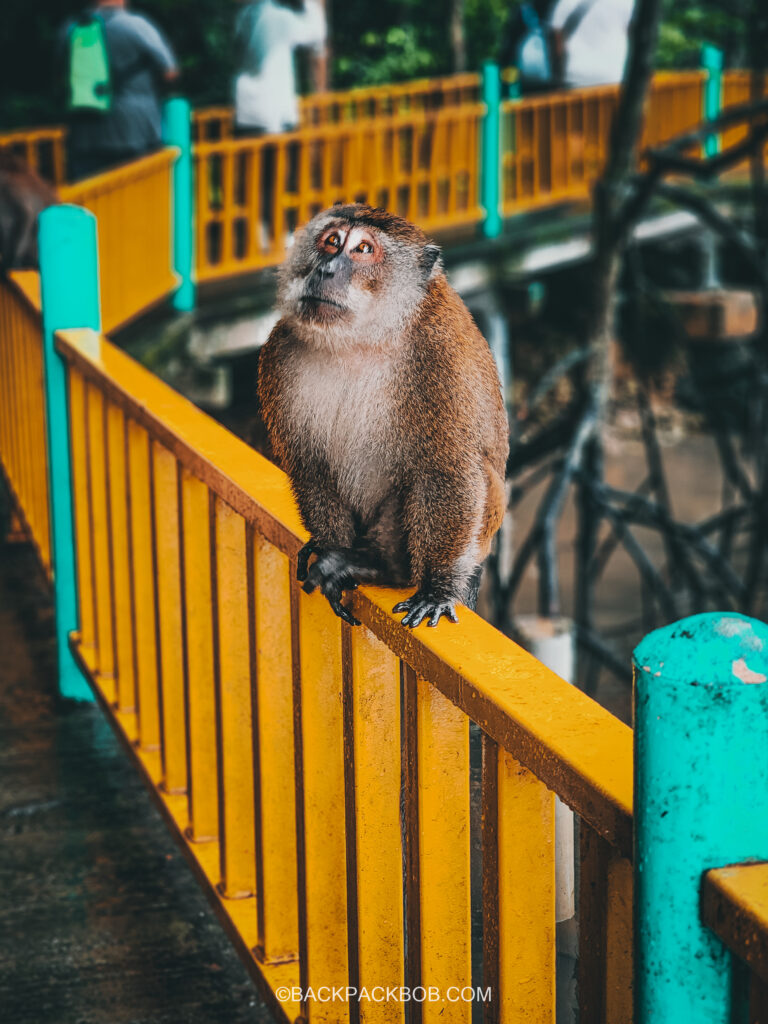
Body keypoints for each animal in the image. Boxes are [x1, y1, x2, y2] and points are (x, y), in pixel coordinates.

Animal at [260, 203, 512, 626]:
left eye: (363, 249)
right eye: (331, 241)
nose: (326, 270)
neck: (362, 339)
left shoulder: (442, 358)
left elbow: (447, 471)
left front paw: (437, 588)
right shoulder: (280, 354)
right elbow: (311, 467)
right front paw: (330, 551)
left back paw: (384, 566)